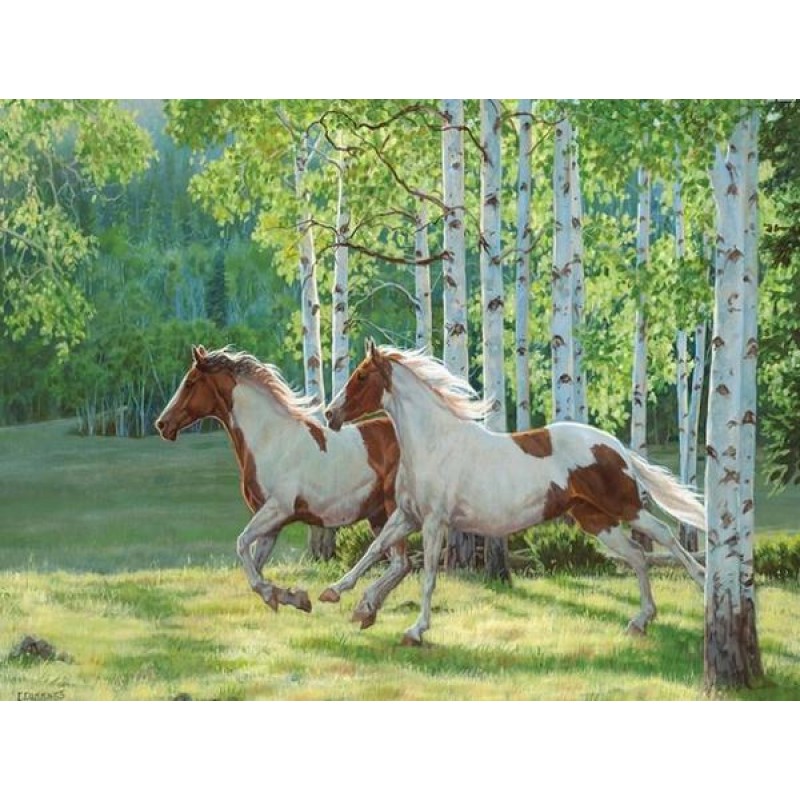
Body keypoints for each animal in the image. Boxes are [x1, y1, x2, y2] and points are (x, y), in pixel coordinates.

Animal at [156, 345, 407, 618]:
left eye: (190, 382)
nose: (162, 424)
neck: (270, 439)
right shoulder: (271, 524)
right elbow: (254, 565)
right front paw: (292, 597)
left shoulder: (277, 510)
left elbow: (242, 545)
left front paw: (280, 596)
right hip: (378, 516)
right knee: (397, 563)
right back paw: (366, 607)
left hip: (395, 509)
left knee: (397, 561)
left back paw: (344, 597)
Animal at [320, 341, 706, 646]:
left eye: (362, 377)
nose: (329, 414)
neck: (434, 443)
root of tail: (615, 446)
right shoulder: (407, 516)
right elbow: (375, 549)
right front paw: (341, 596)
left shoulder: (433, 522)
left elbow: (428, 575)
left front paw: (415, 630)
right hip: (596, 520)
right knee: (638, 556)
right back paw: (640, 622)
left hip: (625, 507)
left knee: (665, 535)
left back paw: (703, 587)